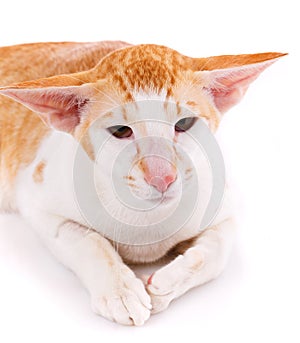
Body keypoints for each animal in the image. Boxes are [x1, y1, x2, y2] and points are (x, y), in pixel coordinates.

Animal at [0, 41, 286, 326]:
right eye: (121, 131)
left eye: (184, 123)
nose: (163, 177)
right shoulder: (36, 196)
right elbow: (89, 241)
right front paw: (119, 290)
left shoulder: (225, 199)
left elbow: (218, 250)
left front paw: (167, 285)